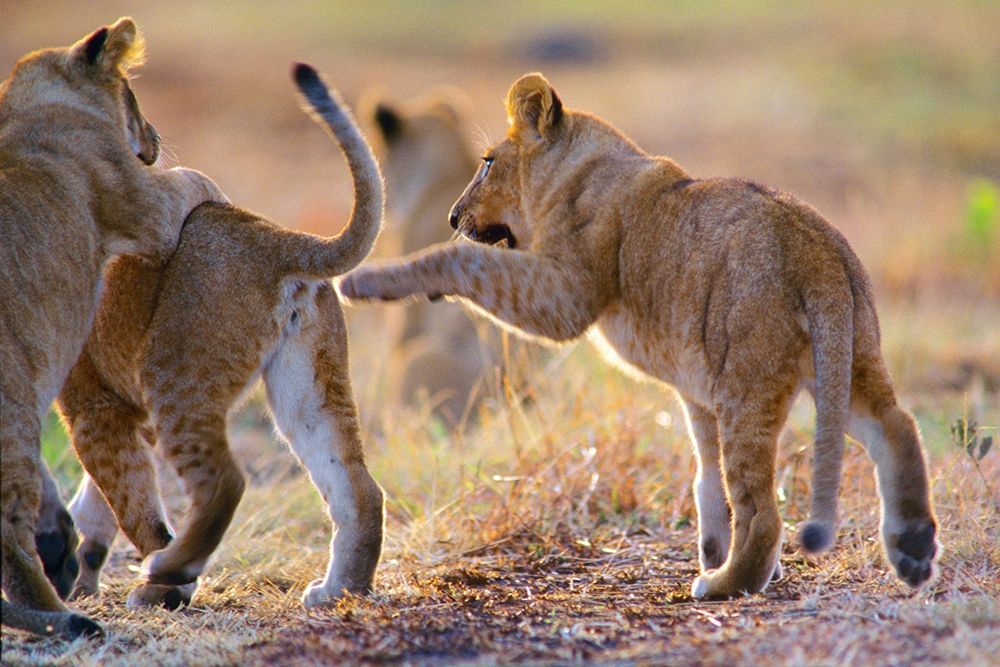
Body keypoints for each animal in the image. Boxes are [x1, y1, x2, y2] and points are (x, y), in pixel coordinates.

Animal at [1, 18, 226, 638]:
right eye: (134, 94)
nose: (154, 137)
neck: (26, 107)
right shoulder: (148, 208)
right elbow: (194, 178)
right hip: (12, 413)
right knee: (10, 537)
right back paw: (63, 620)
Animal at [52, 63, 386, 616]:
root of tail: (277, 237)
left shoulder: (92, 404)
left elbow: (130, 500)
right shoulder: (121, 409)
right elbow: (99, 499)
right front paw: (77, 574)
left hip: (177, 377)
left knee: (224, 484)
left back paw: (165, 574)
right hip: (309, 388)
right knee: (358, 488)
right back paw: (339, 590)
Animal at [341, 72, 940, 598]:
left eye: (487, 163)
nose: (451, 215)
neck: (580, 167)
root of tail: (817, 250)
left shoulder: (564, 296)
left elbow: (463, 261)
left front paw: (368, 280)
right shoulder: (696, 389)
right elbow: (705, 476)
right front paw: (710, 544)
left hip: (748, 384)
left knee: (764, 511)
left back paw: (725, 585)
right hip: (843, 361)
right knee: (896, 425)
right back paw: (911, 549)